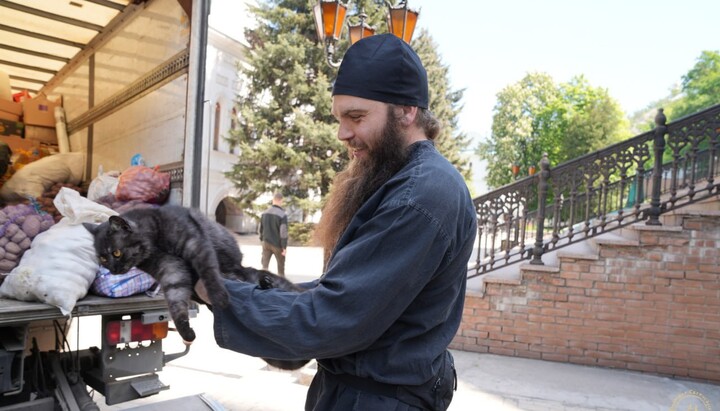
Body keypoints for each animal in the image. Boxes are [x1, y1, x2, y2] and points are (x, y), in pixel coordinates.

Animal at [83, 206, 308, 370]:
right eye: (103, 258)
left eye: (117, 253)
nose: (113, 270)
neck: (155, 242)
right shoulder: (171, 269)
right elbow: (175, 300)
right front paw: (186, 331)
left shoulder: (196, 245)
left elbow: (209, 272)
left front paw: (220, 297)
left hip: (269, 280)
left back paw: (267, 285)